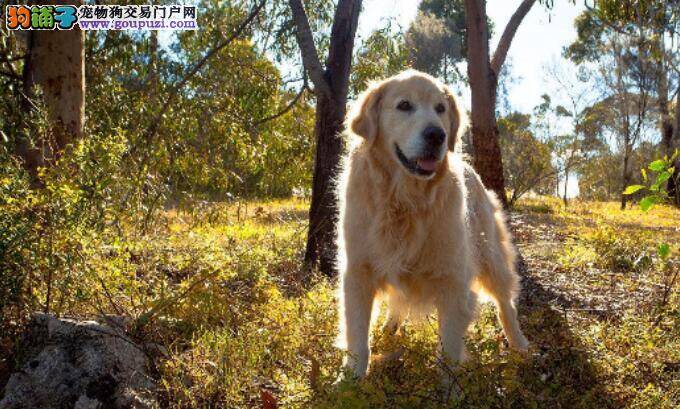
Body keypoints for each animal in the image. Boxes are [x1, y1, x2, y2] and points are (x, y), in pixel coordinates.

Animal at [338, 68, 528, 378]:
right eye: (404, 105)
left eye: (440, 108)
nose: (437, 135)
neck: (404, 200)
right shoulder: (358, 272)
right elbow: (358, 340)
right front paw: (349, 381)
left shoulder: (453, 280)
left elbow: (448, 352)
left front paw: (449, 386)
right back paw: (389, 330)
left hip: (491, 257)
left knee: (506, 305)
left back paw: (522, 347)